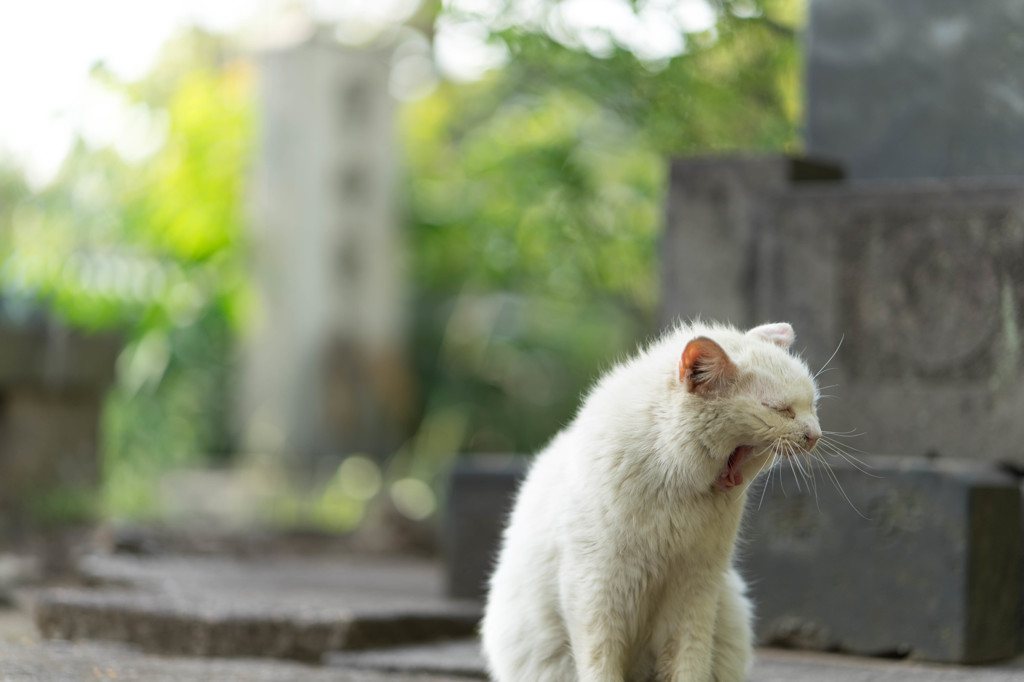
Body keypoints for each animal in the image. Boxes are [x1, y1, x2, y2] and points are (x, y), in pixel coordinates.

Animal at [481, 319, 823, 679]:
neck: (672, 480)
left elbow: (688, 661)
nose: (815, 436)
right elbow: (600, 663)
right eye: (780, 410)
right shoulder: (593, 588)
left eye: (813, 405)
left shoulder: (696, 587)